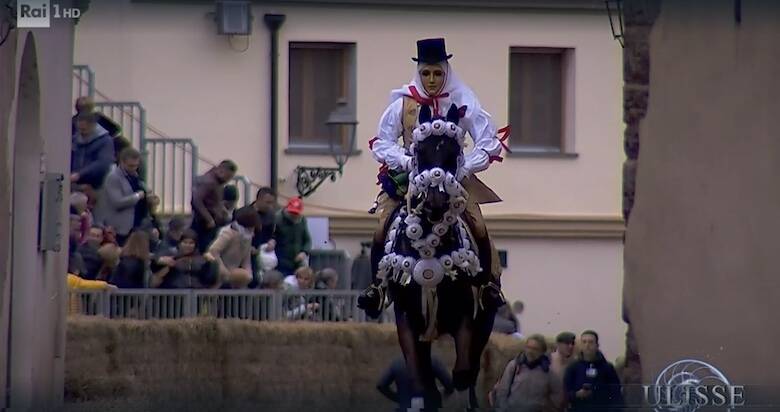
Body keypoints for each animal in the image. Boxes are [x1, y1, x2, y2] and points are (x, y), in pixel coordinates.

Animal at [368, 103, 496, 408]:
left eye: (453, 152)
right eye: (419, 152)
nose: (435, 203)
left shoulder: (465, 316)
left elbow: (462, 373)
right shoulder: (407, 319)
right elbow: (421, 383)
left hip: (484, 319)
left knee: (471, 372)